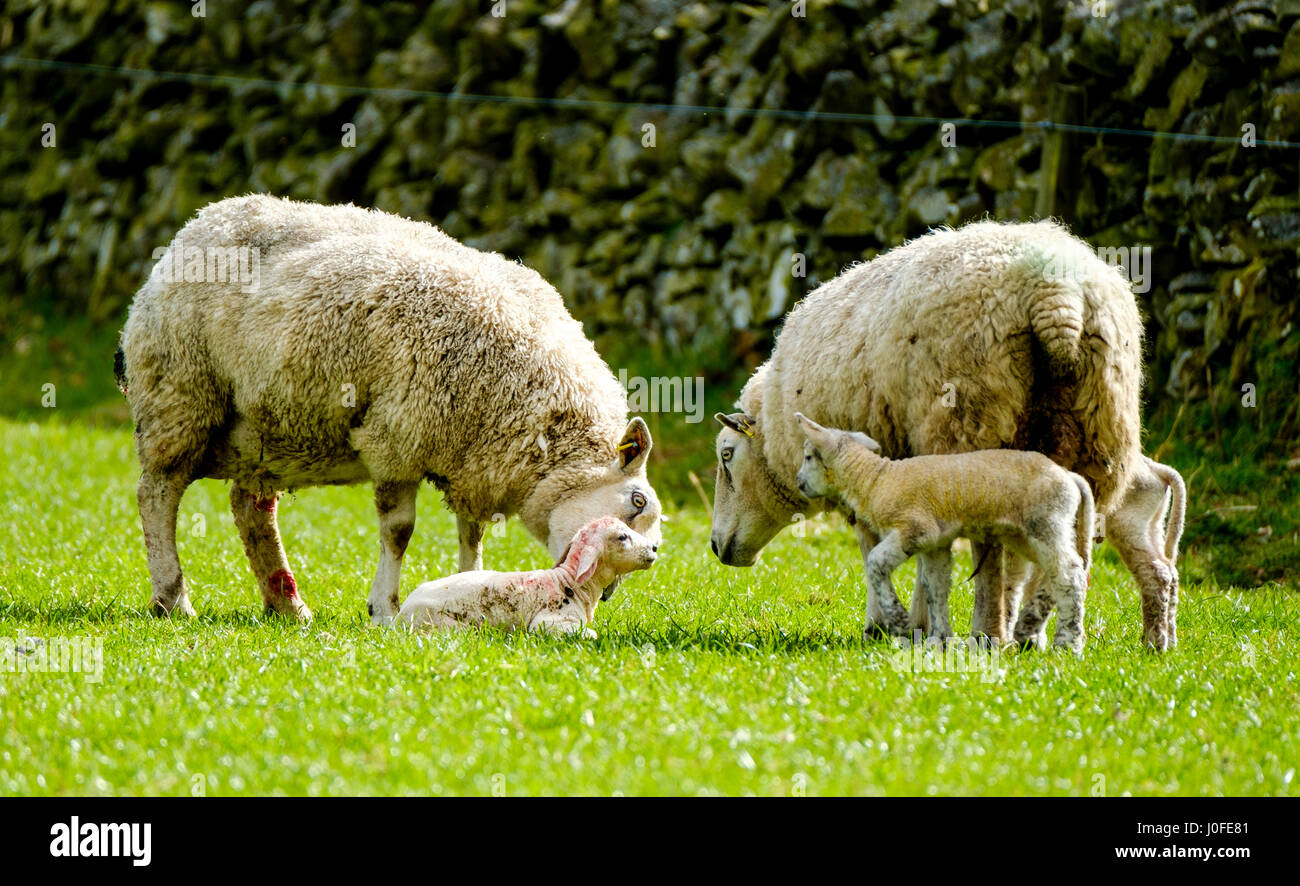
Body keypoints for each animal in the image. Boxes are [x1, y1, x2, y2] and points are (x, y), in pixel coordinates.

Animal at [396, 516, 657, 636]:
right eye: (622, 537)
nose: (654, 547)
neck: (570, 584)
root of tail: (400, 617)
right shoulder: (547, 622)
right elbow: (589, 633)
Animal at [793, 413, 1094, 653]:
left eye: (808, 457)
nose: (799, 483)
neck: (876, 480)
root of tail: (1069, 476)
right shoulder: (934, 542)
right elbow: (935, 586)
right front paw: (939, 640)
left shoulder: (915, 528)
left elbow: (876, 562)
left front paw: (900, 621)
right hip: (1029, 533)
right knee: (1058, 572)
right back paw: (1031, 625)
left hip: (1046, 522)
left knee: (1070, 575)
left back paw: (1067, 643)